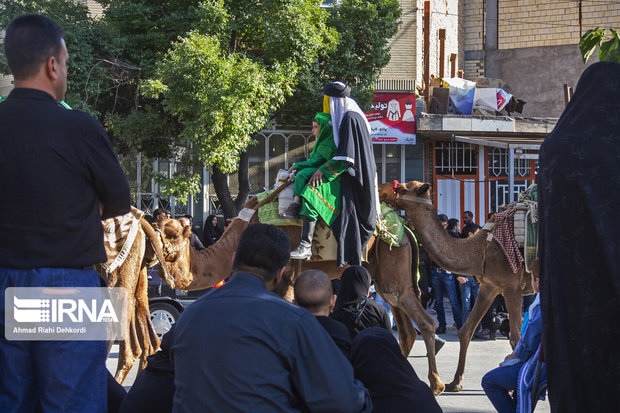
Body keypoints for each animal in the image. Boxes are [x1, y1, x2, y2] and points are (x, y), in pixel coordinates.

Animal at [378, 179, 532, 392]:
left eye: (400, 188)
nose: (379, 190)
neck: (480, 249)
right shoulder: (489, 286)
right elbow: (465, 330)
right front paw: (455, 382)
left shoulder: (512, 287)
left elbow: (516, 337)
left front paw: (513, 387)